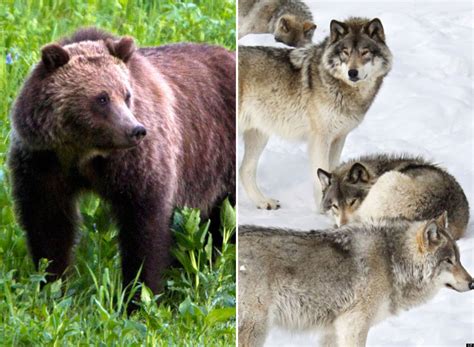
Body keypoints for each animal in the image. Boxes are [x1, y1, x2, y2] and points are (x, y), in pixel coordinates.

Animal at [7, 28, 235, 302]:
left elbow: (143, 229)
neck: (83, 152)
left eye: (126, 95)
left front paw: (139, 294)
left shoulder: (136, 165)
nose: (136, 130)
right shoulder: (44, 162)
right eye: (102, 98)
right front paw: (52, 286)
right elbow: (49, 225)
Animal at [239, 216, 472, 346]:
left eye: (459, 259)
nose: (472, 283)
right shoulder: (353, 324)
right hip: (255, 328)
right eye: (448, 261)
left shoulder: (333, 330)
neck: (392, 261)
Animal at [241, 17, 392, 209]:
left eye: (365, 52)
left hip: (259, 136)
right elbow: (321, 173)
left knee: (244, 170)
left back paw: (263, 202)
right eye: (345, 52)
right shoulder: (320, 139)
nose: (352, 72)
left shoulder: (338, 138)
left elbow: (333, 170)